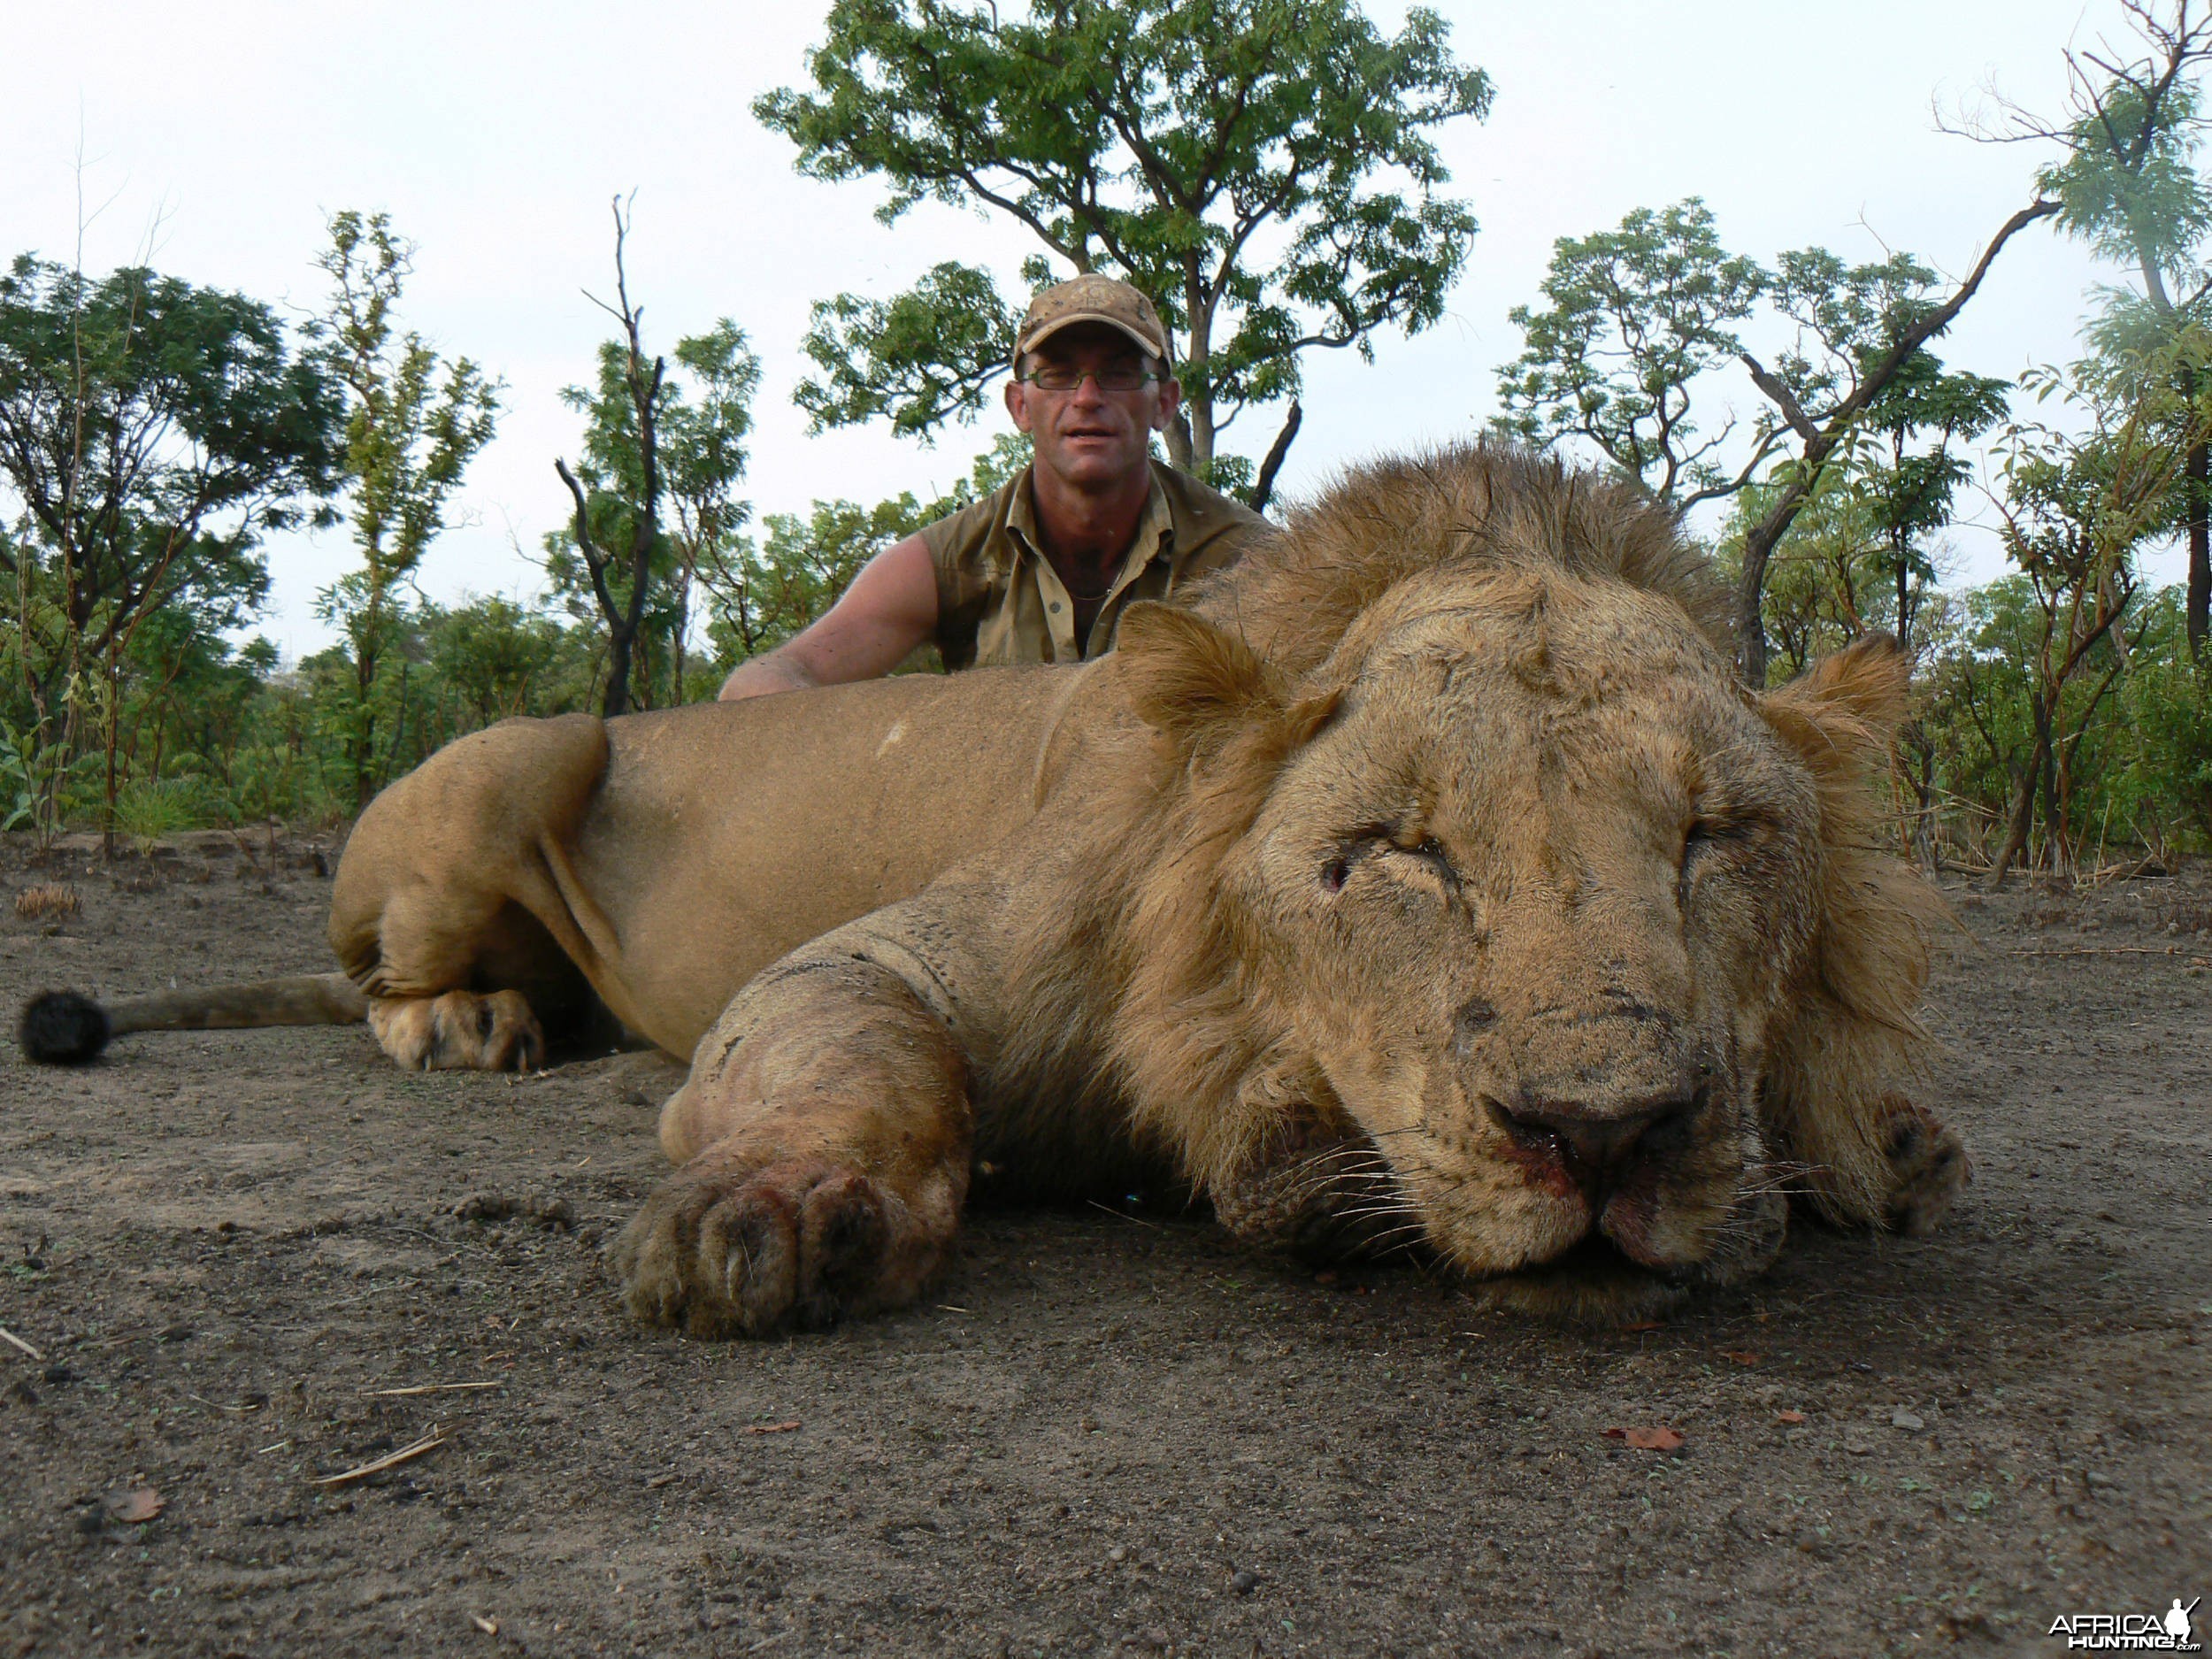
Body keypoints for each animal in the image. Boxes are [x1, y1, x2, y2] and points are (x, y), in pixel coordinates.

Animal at [12, 449, 1955, 1336]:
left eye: (1716, 837)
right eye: (1397, 852)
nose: (1604, 1131)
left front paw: (1884, 1140)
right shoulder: (900, 954)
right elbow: (866, 1056)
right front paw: (771, 1210)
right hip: (530, 743)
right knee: (378, 978)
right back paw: (476, 1023)